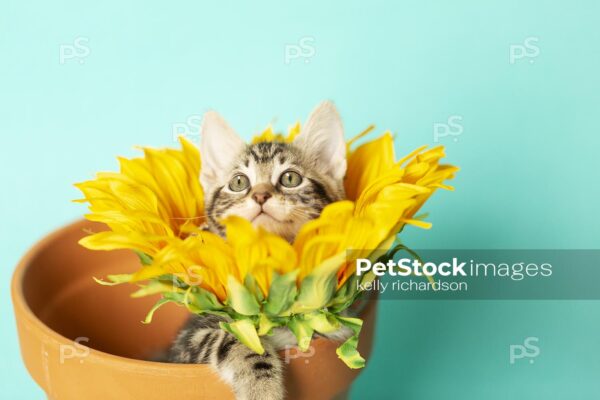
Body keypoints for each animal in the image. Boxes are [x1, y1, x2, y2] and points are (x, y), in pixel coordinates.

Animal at [166, 102, 354, 400]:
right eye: (239, 182)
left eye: (290, 178)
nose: (260, 195)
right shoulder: (189, 340)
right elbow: (239, 339)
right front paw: (261, 388)